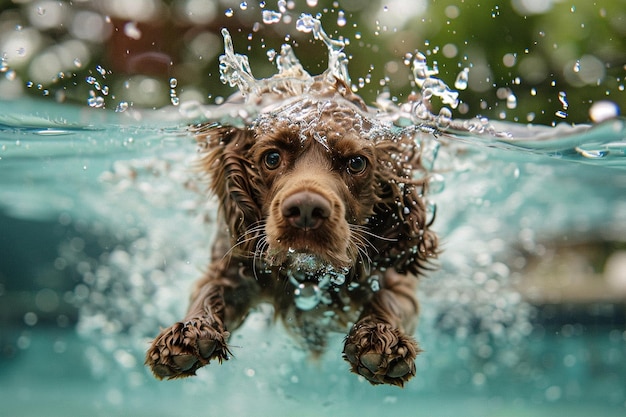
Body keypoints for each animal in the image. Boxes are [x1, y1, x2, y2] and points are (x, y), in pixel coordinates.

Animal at [146, 78, 438, 386]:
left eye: (357, 163)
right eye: (272, 158)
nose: (307, 209)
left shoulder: (394, 278)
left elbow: (389, 299)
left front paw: (379, 338)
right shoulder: (233, 266)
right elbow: (209, 291)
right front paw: (188, 333)